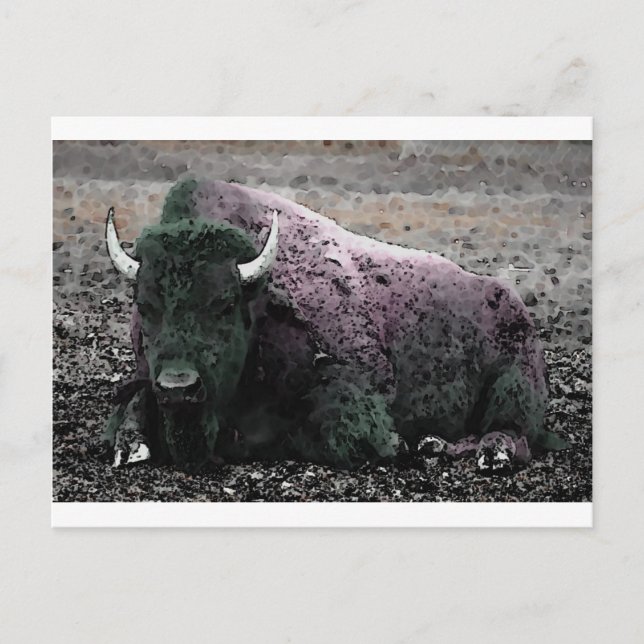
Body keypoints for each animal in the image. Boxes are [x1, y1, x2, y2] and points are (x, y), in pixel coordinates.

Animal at [103, 179, 568, 473]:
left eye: (225, 304)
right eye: (145, 306)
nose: (179, 387)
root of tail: (515, 304)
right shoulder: (147, 377)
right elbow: (132, 404)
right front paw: (130, 447)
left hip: (513, 385)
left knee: (512, 435)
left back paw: (487, 453)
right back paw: (434, 444)